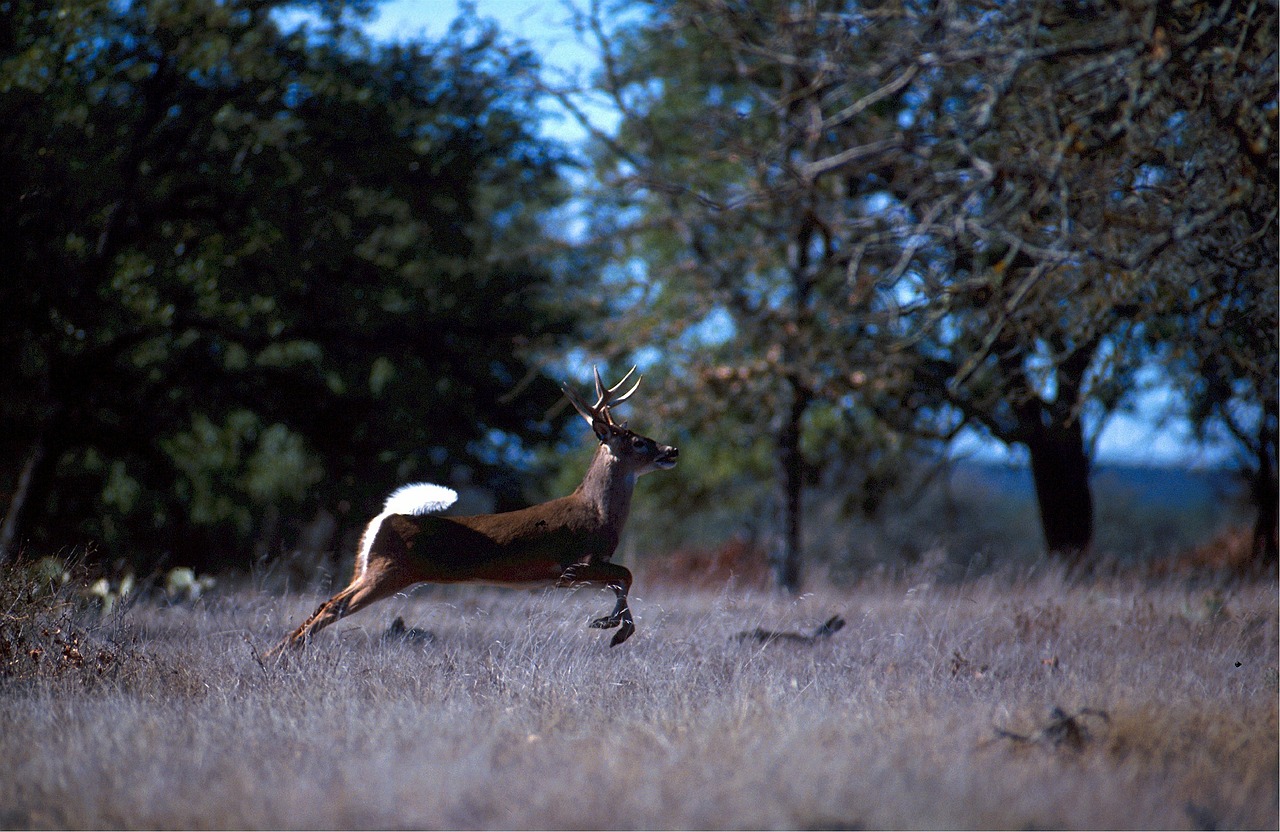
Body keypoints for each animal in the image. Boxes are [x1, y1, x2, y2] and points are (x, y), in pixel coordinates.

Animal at [264, 363, 675, 655]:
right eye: (638, 442)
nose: (671, 450)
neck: (598, 514)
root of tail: (384, 518)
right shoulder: (573, 566)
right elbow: (626, 575)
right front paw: (614, 628)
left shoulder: (582, 570)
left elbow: (623, 580)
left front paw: (609, 625)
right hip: (388, 571)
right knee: (332, 606)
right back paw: (274, 657)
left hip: (368, 569)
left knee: (324, 602)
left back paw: (277, 654)